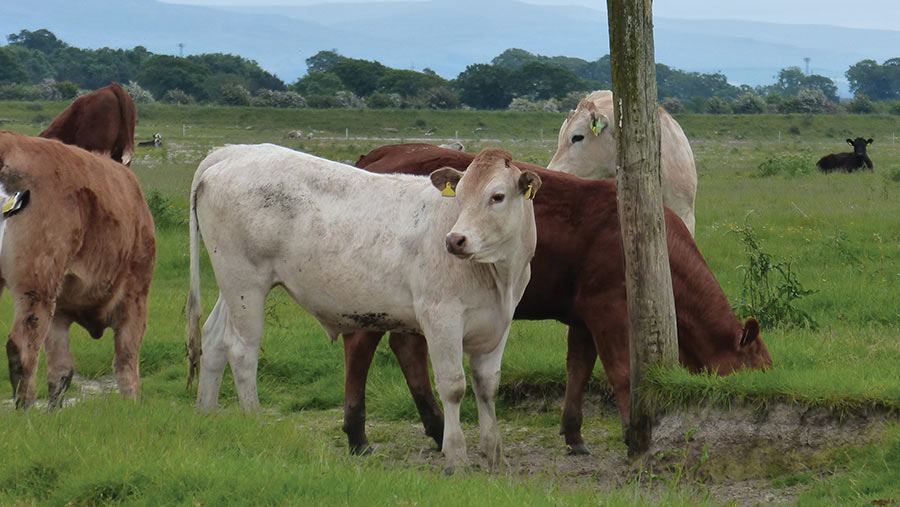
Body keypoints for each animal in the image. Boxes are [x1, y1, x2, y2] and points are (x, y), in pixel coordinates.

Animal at [0, 131, 156, 408]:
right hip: (37, 282)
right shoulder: (136, 295)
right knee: (22, 348)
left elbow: (61, 370)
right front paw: (132, 407)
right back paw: (25, 412)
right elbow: (127, 364)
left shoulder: (59, 312)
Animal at [186, 144, 540, 472]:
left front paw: (494, 455)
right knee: (241, 350)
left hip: (232, 286)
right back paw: (254, 422)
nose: (455, 240)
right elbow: (453, 386)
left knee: (214, 339)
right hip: (245, 283)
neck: (500, 277)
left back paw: (206, 415)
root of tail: (238, 151)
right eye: (460, 196)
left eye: (497, 196)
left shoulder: (499, 324)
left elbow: (487, 386)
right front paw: (456, 458)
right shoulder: (441, 317)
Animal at [342, 143, 768, 456]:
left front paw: (574, 434)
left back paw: (434, 426)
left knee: (406, 348)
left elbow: (578, 369)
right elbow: (620, 371)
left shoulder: (584, 316)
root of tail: (381, 152)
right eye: (755, 370)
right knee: (361, 347)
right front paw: (632, 435)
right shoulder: (608, 310)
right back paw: (359, 436)